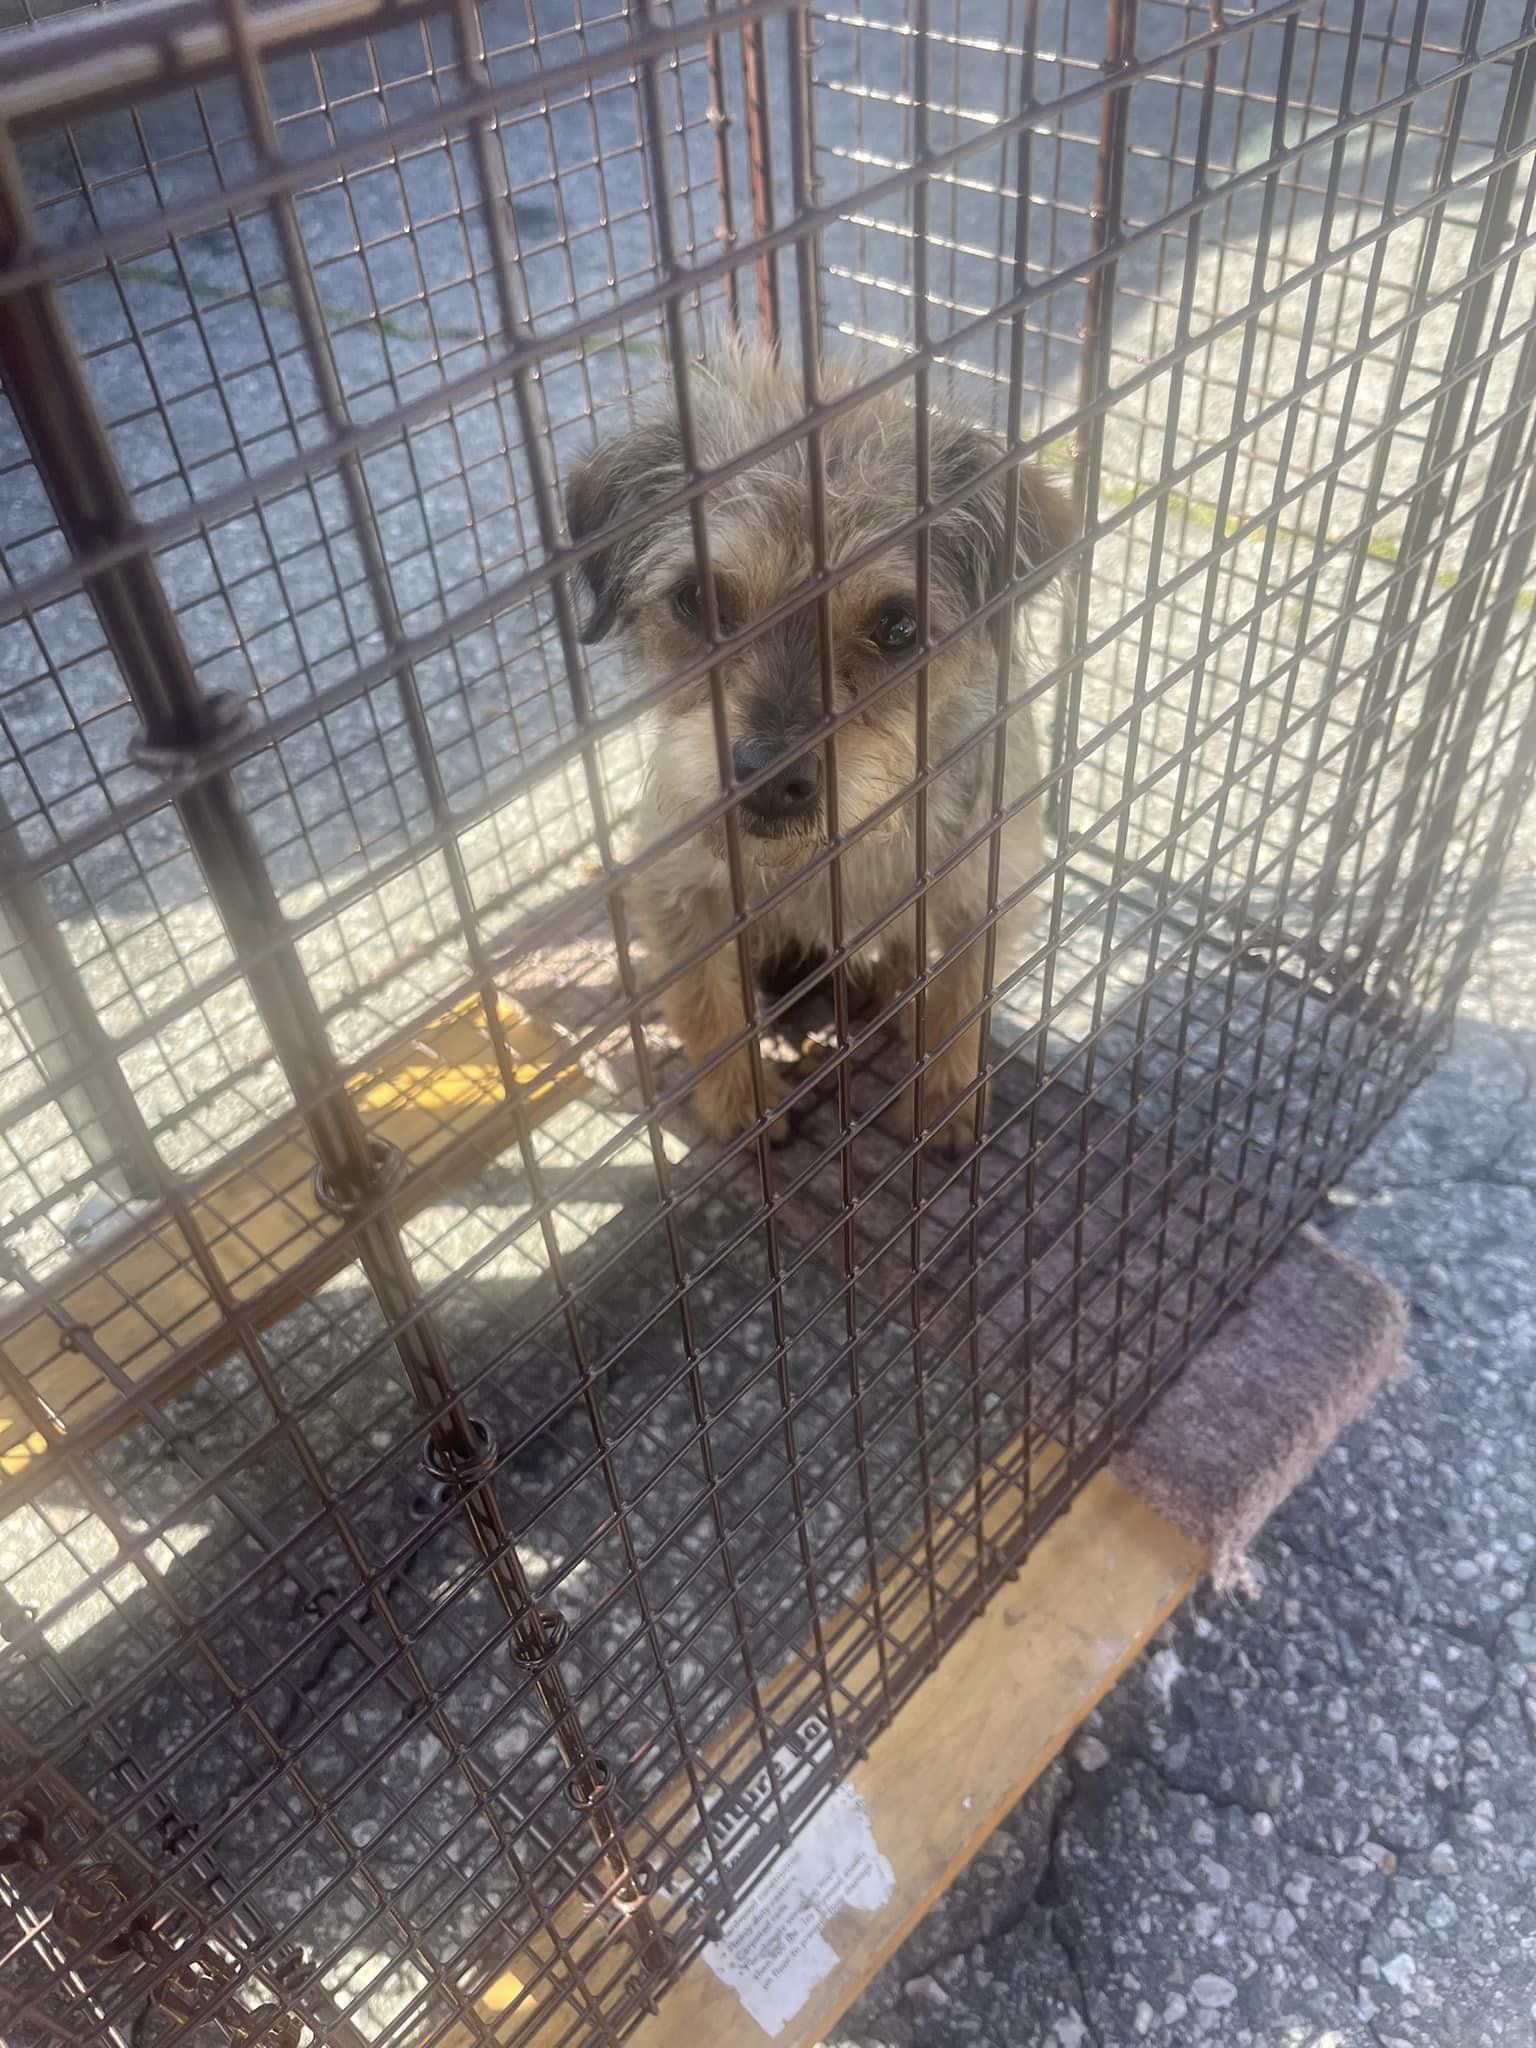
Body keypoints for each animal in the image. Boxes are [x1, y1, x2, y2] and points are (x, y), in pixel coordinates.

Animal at [569, 352, 1081, 1155]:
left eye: (898, 626)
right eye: (698, 600)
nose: (770, 778)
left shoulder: (988, 884)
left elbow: (963, 996)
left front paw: (944, 1101)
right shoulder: (677, 887)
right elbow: (708, 1005)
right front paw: (741, 1106)